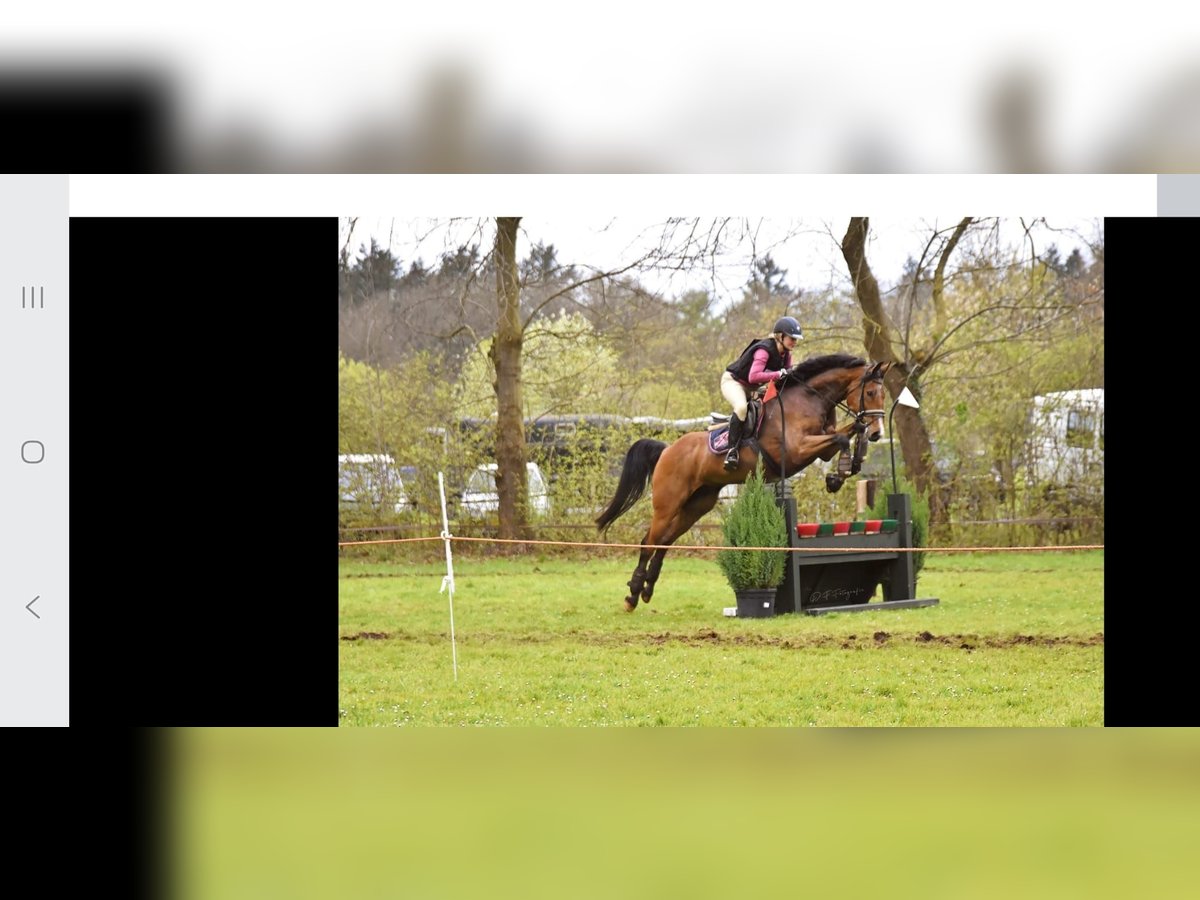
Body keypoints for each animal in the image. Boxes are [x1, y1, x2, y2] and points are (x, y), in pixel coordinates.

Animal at [596, 353, 890, 611]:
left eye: (884, 394)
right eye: (870, 393)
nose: (879, 434)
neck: (809, 400)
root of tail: (667, 450)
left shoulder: (822, 449)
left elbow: (849, 432)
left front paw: (849, 465)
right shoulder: (797, 450)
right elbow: (841, 437)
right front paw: (839, 474)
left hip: (697, 505)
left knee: (665, 542)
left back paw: (646, 590)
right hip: (668, 503)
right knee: (649, 542)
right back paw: (632, 596)